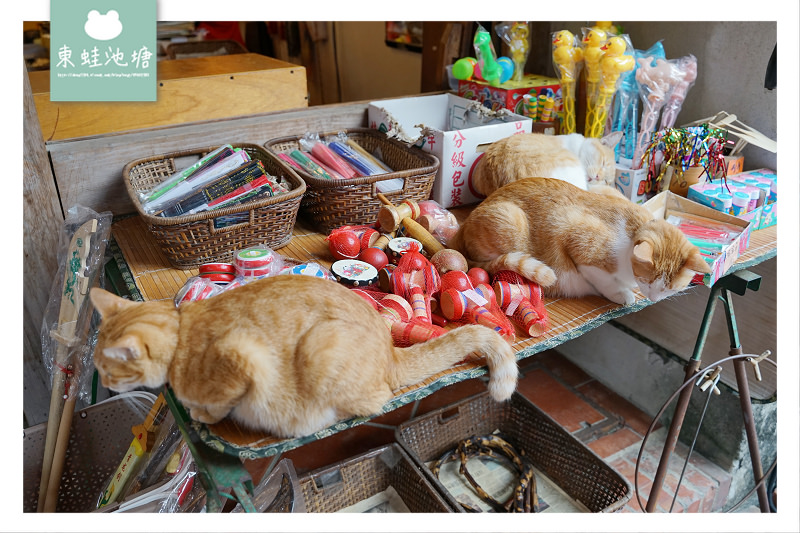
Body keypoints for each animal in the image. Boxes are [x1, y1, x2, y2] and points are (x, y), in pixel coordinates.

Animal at [89, 274, 520, 436]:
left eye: (107, 368)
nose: (104, 383)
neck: (182, 338)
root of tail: (389, 351)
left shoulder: (242, 359)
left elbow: (220, 403)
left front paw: (202, 414)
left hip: (320, 350)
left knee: (375, 401)